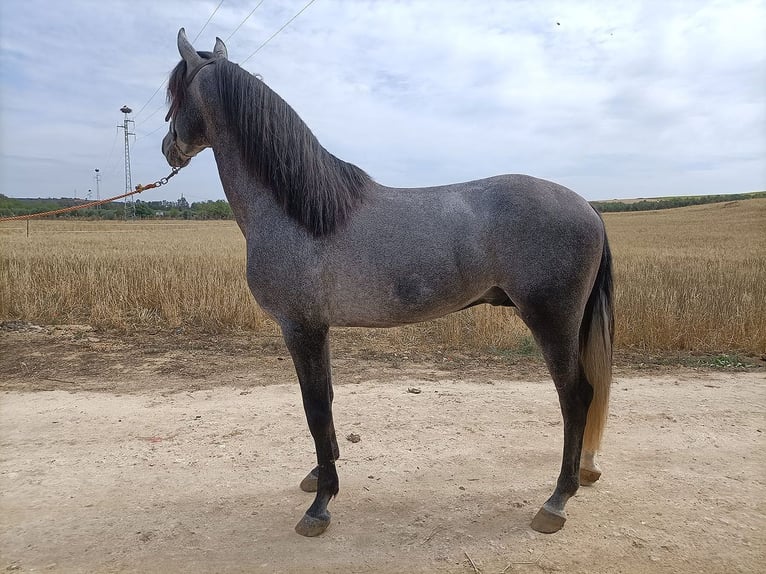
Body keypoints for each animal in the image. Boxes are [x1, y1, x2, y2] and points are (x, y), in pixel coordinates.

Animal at [164, 27, 616, 540]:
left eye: (174, 96)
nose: (167, 147)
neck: (301, 213)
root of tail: (588, 207)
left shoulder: (300, 328)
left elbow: (315, 408)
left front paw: (321, 505)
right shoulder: (316, 330)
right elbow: (326, 402)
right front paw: (319, 475)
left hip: (552, 320)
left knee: (576, 397)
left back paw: (556, 500)